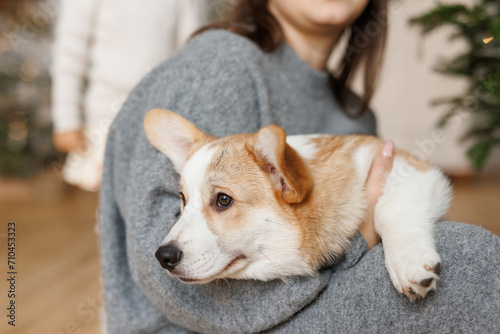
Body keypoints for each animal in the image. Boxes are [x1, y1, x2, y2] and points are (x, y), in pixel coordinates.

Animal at [143, 109, 452, 300]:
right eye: (183, 200)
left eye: (223, 200)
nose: (163, 257)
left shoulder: (409, 167)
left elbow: (386, 209)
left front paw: (408, 260)